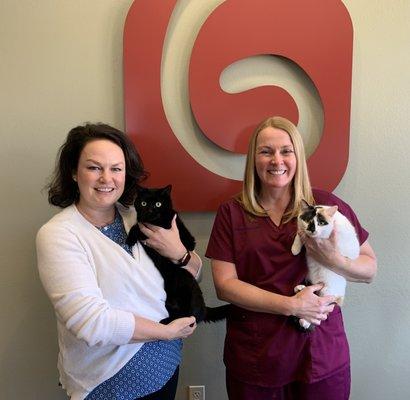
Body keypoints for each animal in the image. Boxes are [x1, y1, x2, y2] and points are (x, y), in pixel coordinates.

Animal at [125, 186, 227, 324]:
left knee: (190, 316)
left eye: (158, 204)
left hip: (187, 289)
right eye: (143, 203)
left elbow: (142, 228)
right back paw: (166, 321)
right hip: (169, 298)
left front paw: (131, 238)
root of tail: (204, 308)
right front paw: (130, 238)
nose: (150, 210)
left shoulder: (187, 239)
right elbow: (138, 226)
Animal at [292, 200, 358, 332]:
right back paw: (300, 288)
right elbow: (299, 232)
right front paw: (295, 248)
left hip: (327, 291)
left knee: (322, 306)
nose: (312, 229)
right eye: (308, 219)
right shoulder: (301, 227)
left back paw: (305, 321)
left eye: (321, 223)